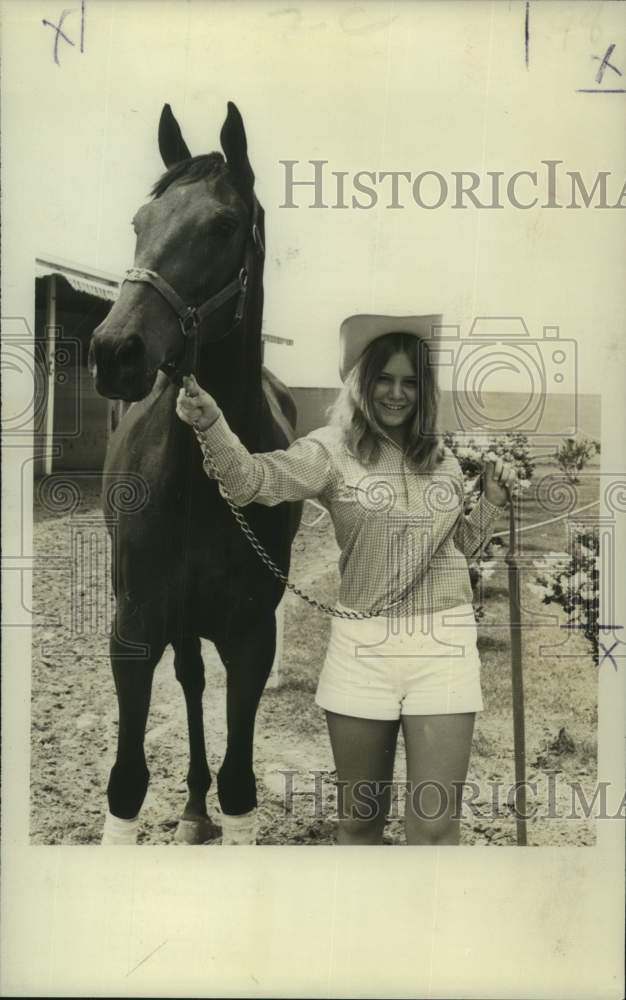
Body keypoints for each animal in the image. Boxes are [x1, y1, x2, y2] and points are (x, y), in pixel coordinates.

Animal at [89, 101, 302, 844]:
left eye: (223, 225)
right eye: (139, 223)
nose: (113, 351)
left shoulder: (252, 637)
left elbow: (241, 788)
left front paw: (217, 803)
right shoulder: (133, 631)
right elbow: (125, 787)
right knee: (187, 679)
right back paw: (188, 805)